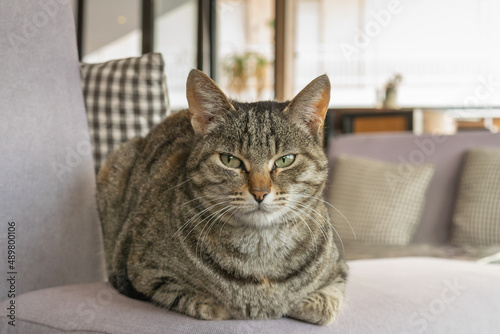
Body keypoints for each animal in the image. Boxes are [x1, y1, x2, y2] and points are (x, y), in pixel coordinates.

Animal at [96, 68, 348, 326]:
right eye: (230, 160)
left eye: (285, 160)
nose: (259, 192)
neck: (261, 249)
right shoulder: (145, 270)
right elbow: (197, 301)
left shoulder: (339, 271)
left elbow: (328, 299)